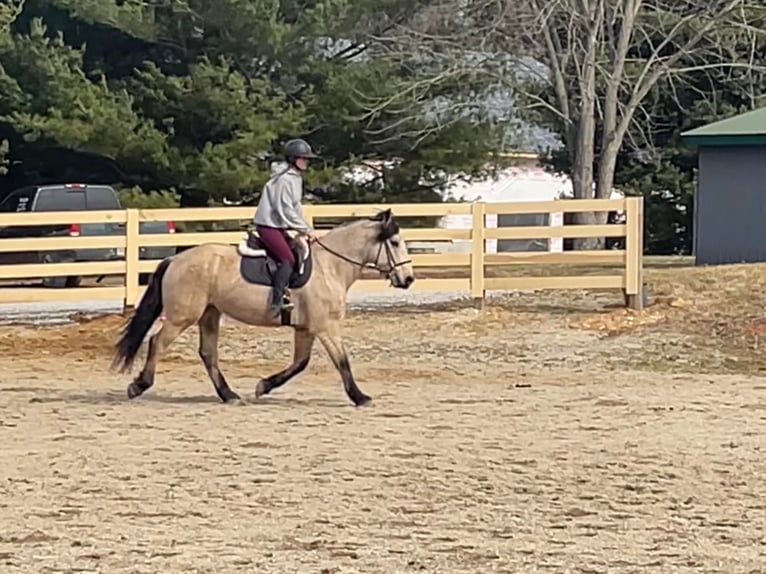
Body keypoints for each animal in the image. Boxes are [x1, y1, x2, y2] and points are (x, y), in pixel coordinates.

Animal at [109, 209, 414, 408]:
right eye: (395, 243)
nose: (408, 279)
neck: (331, 266)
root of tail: (175, 259)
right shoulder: (326, 326)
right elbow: (342, 361)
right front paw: (360, 397)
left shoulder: (306, 327)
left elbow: (300, 363)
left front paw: (263, 386)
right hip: (182, 316)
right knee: (158, 342)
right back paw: (139, 385)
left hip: (210, 313)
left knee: (208, 353)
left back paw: (229, 395)